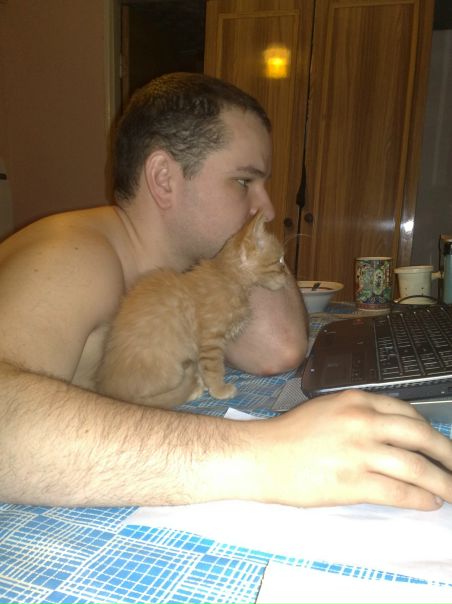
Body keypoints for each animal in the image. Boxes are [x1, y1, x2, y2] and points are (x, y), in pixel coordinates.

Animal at [95, 210, 288, 408]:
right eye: (280, 260)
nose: (288, 275)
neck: (228, 277)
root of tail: (111, 392)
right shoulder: (211, 340)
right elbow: (214, 368)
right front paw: (219, 389)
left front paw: (205, 383)